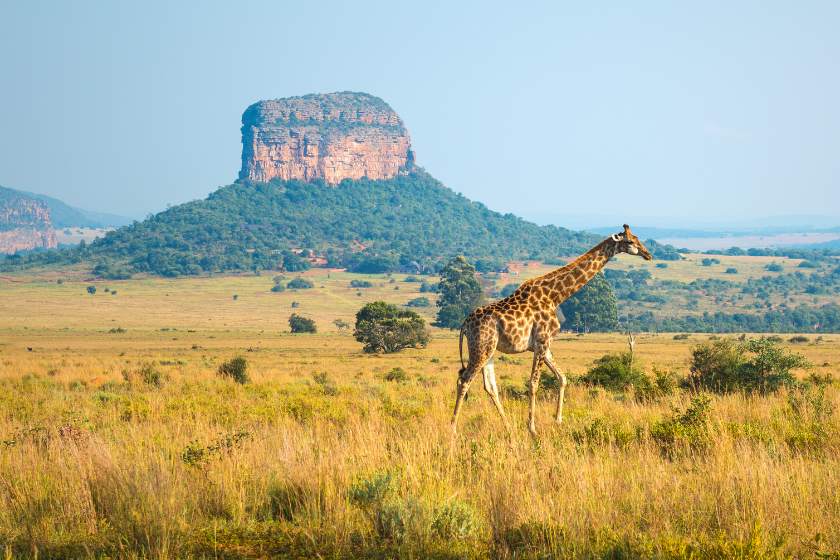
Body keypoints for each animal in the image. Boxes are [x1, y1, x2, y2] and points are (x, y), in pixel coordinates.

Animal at [451, 224, 652, 435]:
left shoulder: (545, 344)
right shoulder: (542, 341)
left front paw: (558, 420)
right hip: (481, 347)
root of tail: (465, 325)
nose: (648, 254)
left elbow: (562, 378)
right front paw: (532, 428)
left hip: (488, 349)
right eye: (629, 241)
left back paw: (508, 426)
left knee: (490, 386)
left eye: (637, 238)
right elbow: (533, 384)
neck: (555, 297)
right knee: (464, 381)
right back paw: (453, 429)